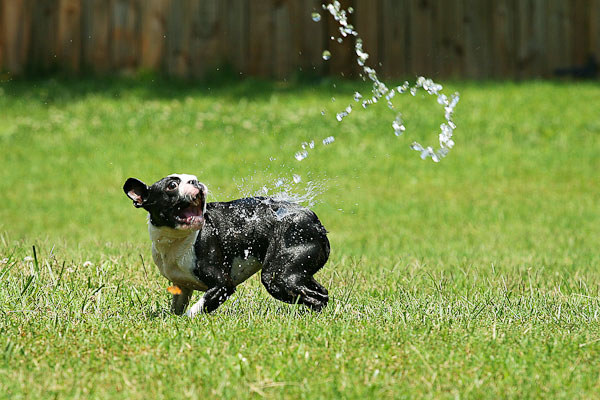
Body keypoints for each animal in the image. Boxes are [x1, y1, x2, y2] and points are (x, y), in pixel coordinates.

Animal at [123, 173, 330, 318]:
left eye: (193, 178)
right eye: (172, 185)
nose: (195, 182)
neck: (177, 239)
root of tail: (313, 220)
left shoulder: (222, 286)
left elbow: (196, 309)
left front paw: (185, 322)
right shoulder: (181, 287)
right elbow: (178, 307)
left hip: (277, 276)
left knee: (316, 297)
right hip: (297, 271)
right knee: (320, 292)